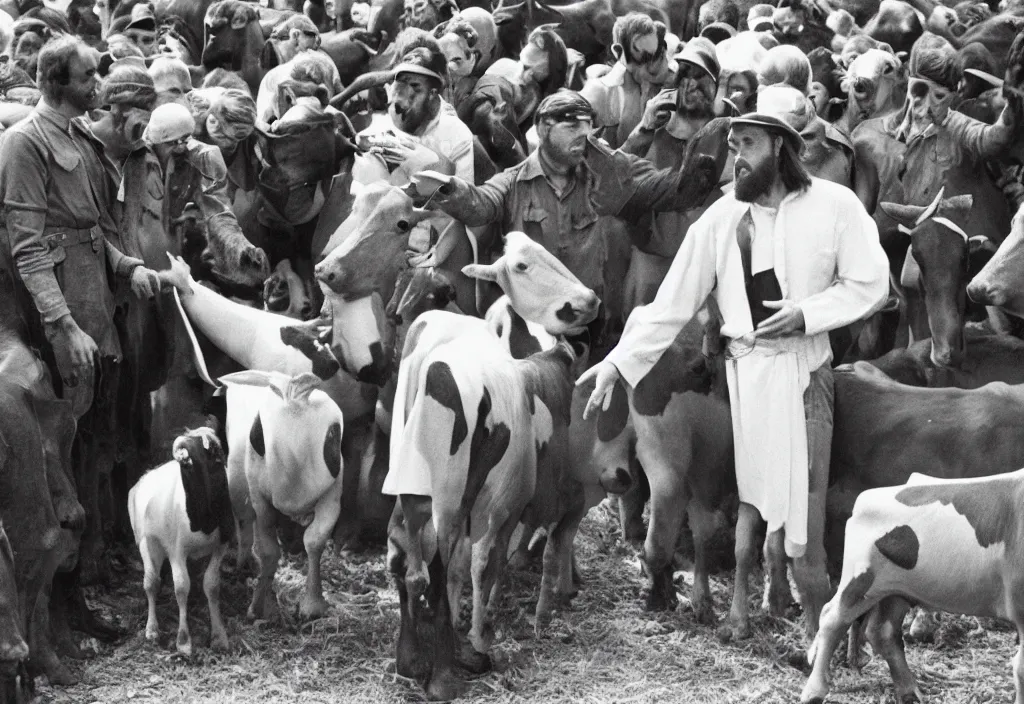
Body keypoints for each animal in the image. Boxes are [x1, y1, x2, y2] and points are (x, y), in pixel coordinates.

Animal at [128, 423, 234, 654]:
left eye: (218, 459)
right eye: (187, 466)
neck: (204, 519)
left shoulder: (221, 545)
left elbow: (211, 585)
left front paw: (219, 635)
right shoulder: (176, 551)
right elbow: (181, 587)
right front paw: (183, 641)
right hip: (147, 543)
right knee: (151, 582)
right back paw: (152, 629)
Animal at [220, 368, 344, 622]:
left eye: (334, 435)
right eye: (257, 433)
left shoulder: (332, 496)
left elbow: (314, 541)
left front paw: (313, 605)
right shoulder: (260, 500)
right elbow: (269, 552)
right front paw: (259, 607)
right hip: (240, 490)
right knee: (245, 527)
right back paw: (243, 564)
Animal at [802, 466, 1024, 704]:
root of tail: (866, 497)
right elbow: (1021, 667)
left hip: (895, 592)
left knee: (883, 632)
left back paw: (909, 691)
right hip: (859, 581)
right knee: (831, 619)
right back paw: (814, 691)